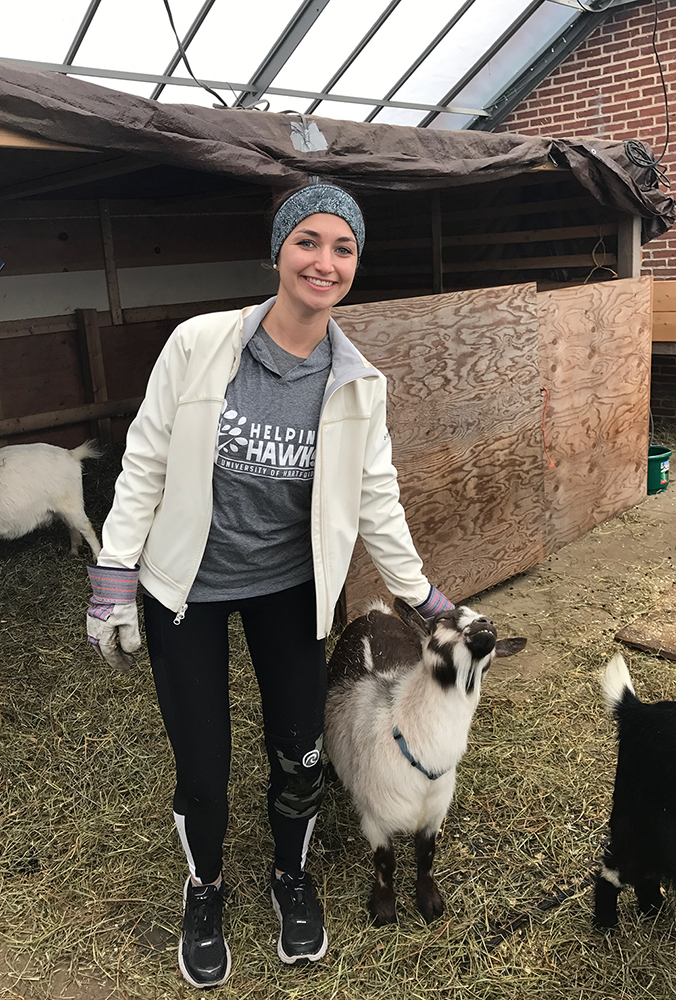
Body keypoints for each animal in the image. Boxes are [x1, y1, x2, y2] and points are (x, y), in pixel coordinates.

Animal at [324, 596, 524, 924]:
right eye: (444, 619)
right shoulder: (374, 817)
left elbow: (426, 855)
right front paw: (383, 909)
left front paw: (430, 902)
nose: (486, 624)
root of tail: (375, 612)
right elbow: (385, 862)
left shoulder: (434, 812)